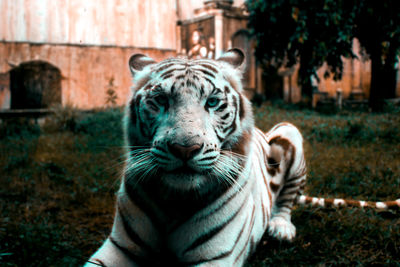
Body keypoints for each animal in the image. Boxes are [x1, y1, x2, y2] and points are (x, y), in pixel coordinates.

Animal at [86, 49, 400, 266]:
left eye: (212, 102)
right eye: (160, 100)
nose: (185, 148)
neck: (175, 200)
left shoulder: (214, 256)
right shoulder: (119, 247)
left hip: (289, 131)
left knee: (286, 199)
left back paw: (280, 228)